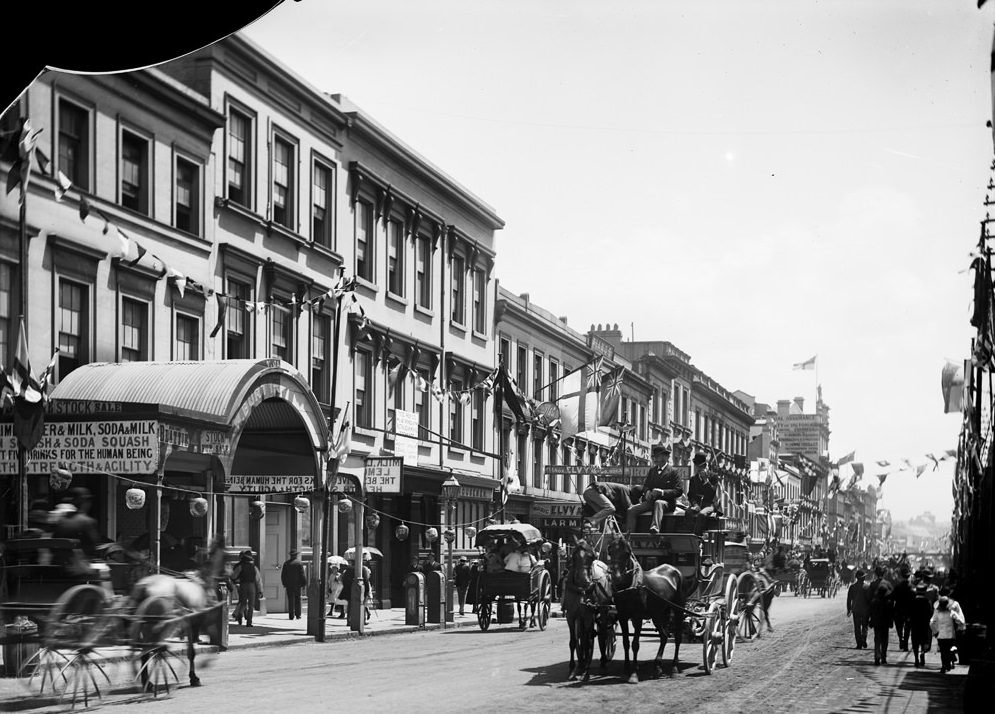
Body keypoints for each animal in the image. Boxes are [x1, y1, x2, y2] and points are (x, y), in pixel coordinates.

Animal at [126, 536, 226, 688]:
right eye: (228, 555)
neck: (202, 583)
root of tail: (144, 585)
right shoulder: (199, 621)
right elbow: (198, 647)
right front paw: (198, 672)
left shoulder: (190, 623)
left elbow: (192, 650)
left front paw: (193, 675)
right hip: (155, 624)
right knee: (149, 649)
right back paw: (149, 680)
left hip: (142, 622)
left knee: (144, 649)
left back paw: (146, 681)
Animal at [560, 536, 616, 680]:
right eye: (573, 556)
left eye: (591, 556)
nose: (583, 580)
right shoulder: (571, 615)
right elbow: (574, 641)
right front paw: (572, 668)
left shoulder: (588, 615)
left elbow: (587, 641)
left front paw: (586, 670)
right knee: (584, 635)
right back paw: (582, 662)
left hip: (603, 610)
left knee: (602, 635)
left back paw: (602, 661)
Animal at [608, 536, 684, 680]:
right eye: (610, 551)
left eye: (627, 552)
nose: (615, 576)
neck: (629, 586)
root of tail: (673, 569)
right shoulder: (622, 616)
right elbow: (626, 642)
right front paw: (626, 668)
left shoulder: (637, 617)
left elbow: (635, 644)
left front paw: (633, 673)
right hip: (658, 614)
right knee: (664, 635)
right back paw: (658, 666)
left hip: (678, 609)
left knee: (677, 637)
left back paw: (674, 667)